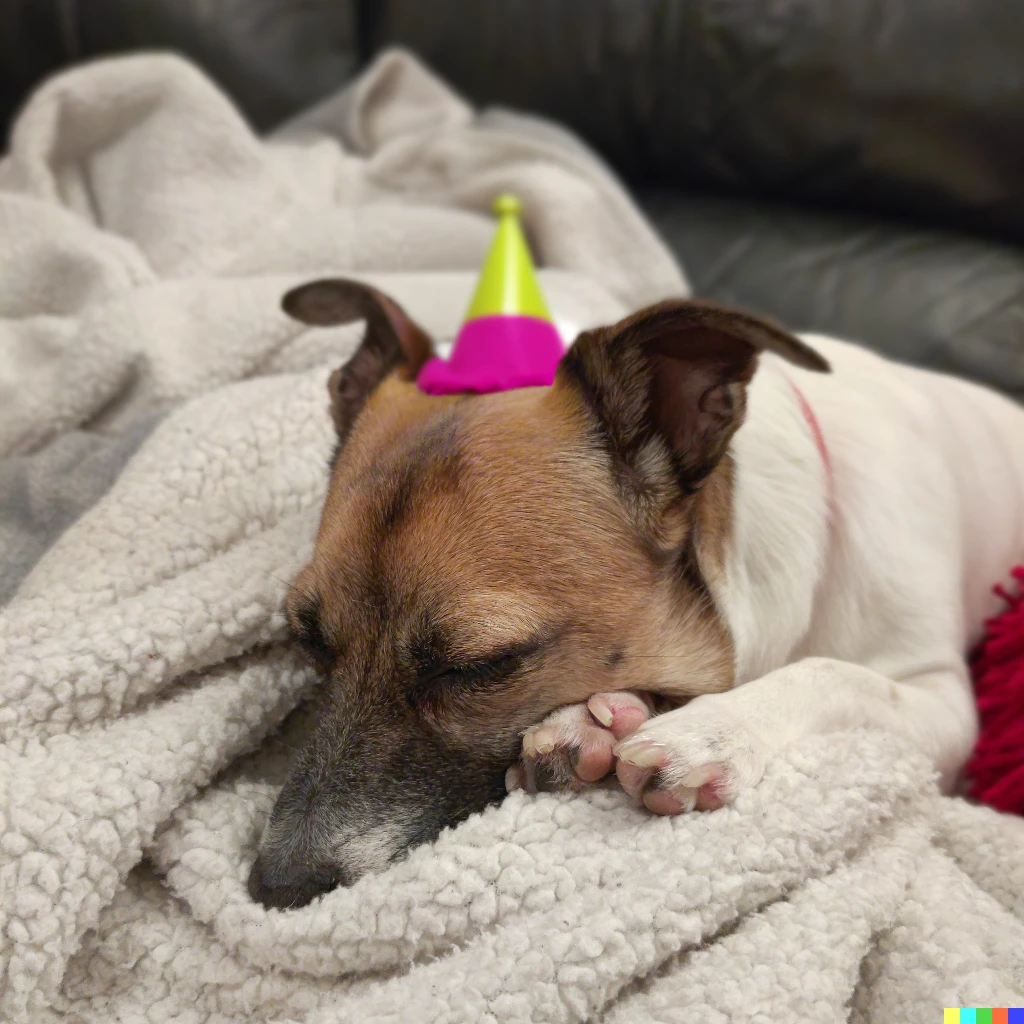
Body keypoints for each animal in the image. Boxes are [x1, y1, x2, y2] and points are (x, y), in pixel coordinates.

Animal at [245, 276, 1024, 909]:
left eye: (479, 666)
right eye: (308, 640)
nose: (275, 889)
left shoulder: (943, 701)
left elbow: (835, 674)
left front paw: (714, 731)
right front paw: (593, 722)